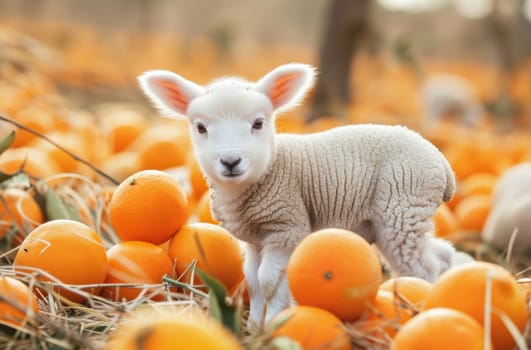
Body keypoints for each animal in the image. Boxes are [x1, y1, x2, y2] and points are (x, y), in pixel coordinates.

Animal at [139, 64, 460, 326]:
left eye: (258, 123)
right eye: (200, 128)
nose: (230, 162)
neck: (271, 168)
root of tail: (443, 164)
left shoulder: (286, 226)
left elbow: (268, 280)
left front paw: (273, 323)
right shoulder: (256, 239)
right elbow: (253, 280)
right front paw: (254, 324)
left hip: (402, 206)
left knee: (423, 267)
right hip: (397, 218)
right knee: (440, 255)